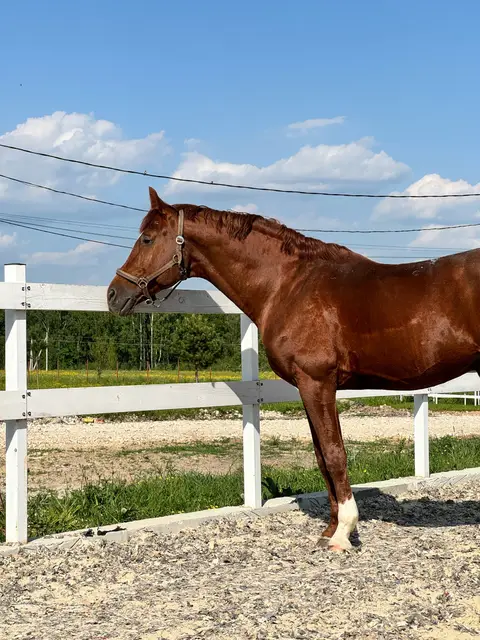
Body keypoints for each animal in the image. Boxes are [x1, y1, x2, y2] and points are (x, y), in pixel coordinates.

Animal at [107, 187, 480, 552]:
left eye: (147, 239)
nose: (113, 294)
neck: (288, 284)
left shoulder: (317, 382)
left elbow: (334, 454)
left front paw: (343, 534)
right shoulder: (309, 386)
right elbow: (321, 458)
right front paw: (329, 530)